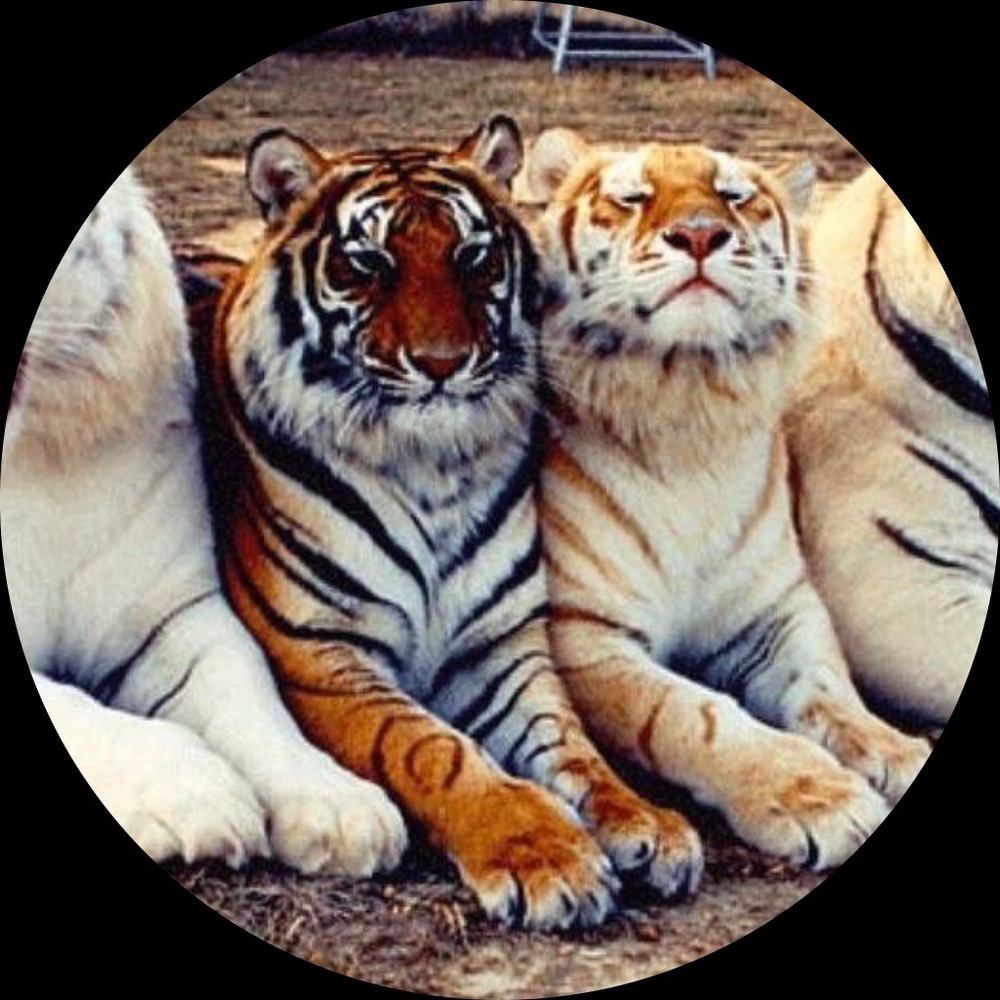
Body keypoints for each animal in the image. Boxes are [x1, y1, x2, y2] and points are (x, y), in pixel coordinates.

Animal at [2, 166, 406, 876]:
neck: (36, 453)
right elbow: (75, 705)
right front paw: (190, 791)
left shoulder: (174, 612)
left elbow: (247, 688)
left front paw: (337, 806)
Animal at [199, 116, 704, 930]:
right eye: (367, 264)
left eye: (471, 257)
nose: (443, 362)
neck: (430, 466)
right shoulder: (320, 651)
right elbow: (431, 749)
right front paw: (545, 854)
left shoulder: (500, 645)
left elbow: (571, 744)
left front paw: (646, 822)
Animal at [525, 127, 932, 869]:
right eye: (633, 196)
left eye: (734, 195)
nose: (699, 233)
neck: (692, 406)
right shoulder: (585, 632)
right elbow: (695, 716)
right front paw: (815, 796)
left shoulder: (780, 611)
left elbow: (832, 691)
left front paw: (896, 751)